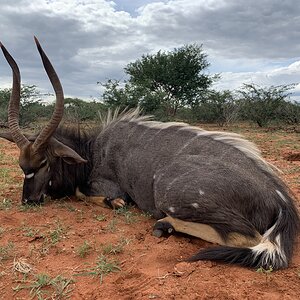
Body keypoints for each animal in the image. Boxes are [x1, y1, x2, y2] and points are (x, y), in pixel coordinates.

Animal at [0, 37, 298, 270]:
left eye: (44, 162)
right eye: (21, 165)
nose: (29, 201)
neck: (93, 150)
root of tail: (281, 200)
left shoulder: (108, 186)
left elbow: (88, 193)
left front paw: (114, 203)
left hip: (168, 190)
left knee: (245, 237)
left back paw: (164, 224)